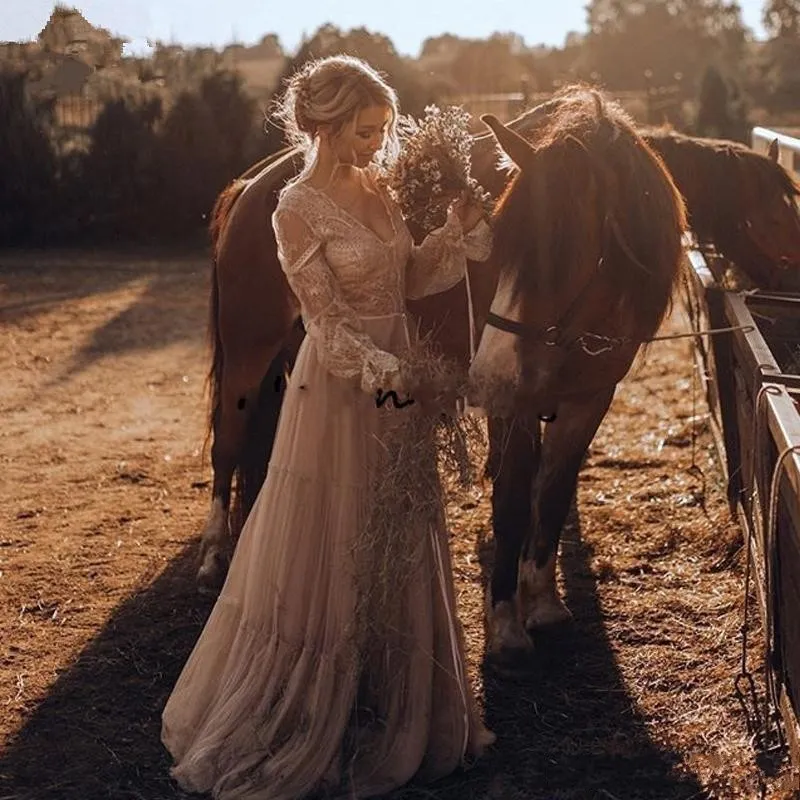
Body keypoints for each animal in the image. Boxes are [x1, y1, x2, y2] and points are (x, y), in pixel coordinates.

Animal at [194, 86, 688, 664]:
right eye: (502, 243)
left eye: (561, 253)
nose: (488, 373)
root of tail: (256, 185)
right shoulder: (515, 404)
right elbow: (514, 494)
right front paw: (505, 621)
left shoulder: (590, 399)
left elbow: (554, 489)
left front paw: (542, 599)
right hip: (248, 358)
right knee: (227, 445)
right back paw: (214, 555)